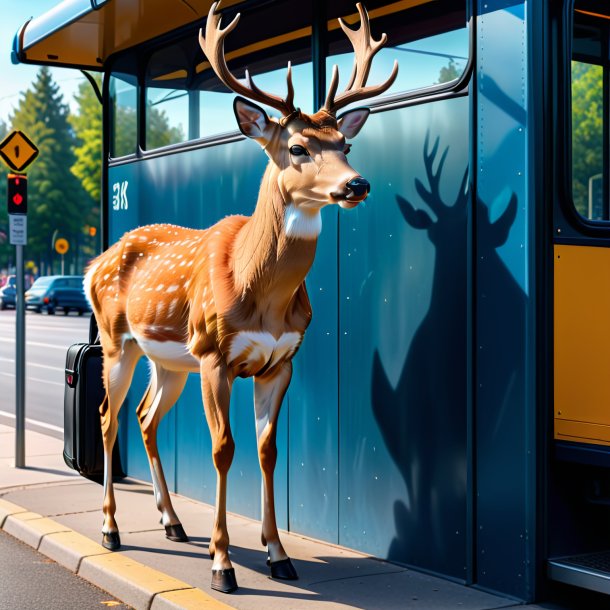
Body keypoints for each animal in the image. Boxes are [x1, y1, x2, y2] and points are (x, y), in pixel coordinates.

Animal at [85, 0, 396, 588]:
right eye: (296, 147)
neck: (266, 298)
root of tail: (95, 261)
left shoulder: (281, 360)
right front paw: (223, 564)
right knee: (108, 418)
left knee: (145, 417)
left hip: (168, 360)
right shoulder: (215, 353)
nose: (357, 184)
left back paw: (172, 523)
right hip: (118, 342)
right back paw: (111, 529)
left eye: (345, 144)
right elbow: (223, 449)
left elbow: (268, 450)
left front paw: (279, 555)